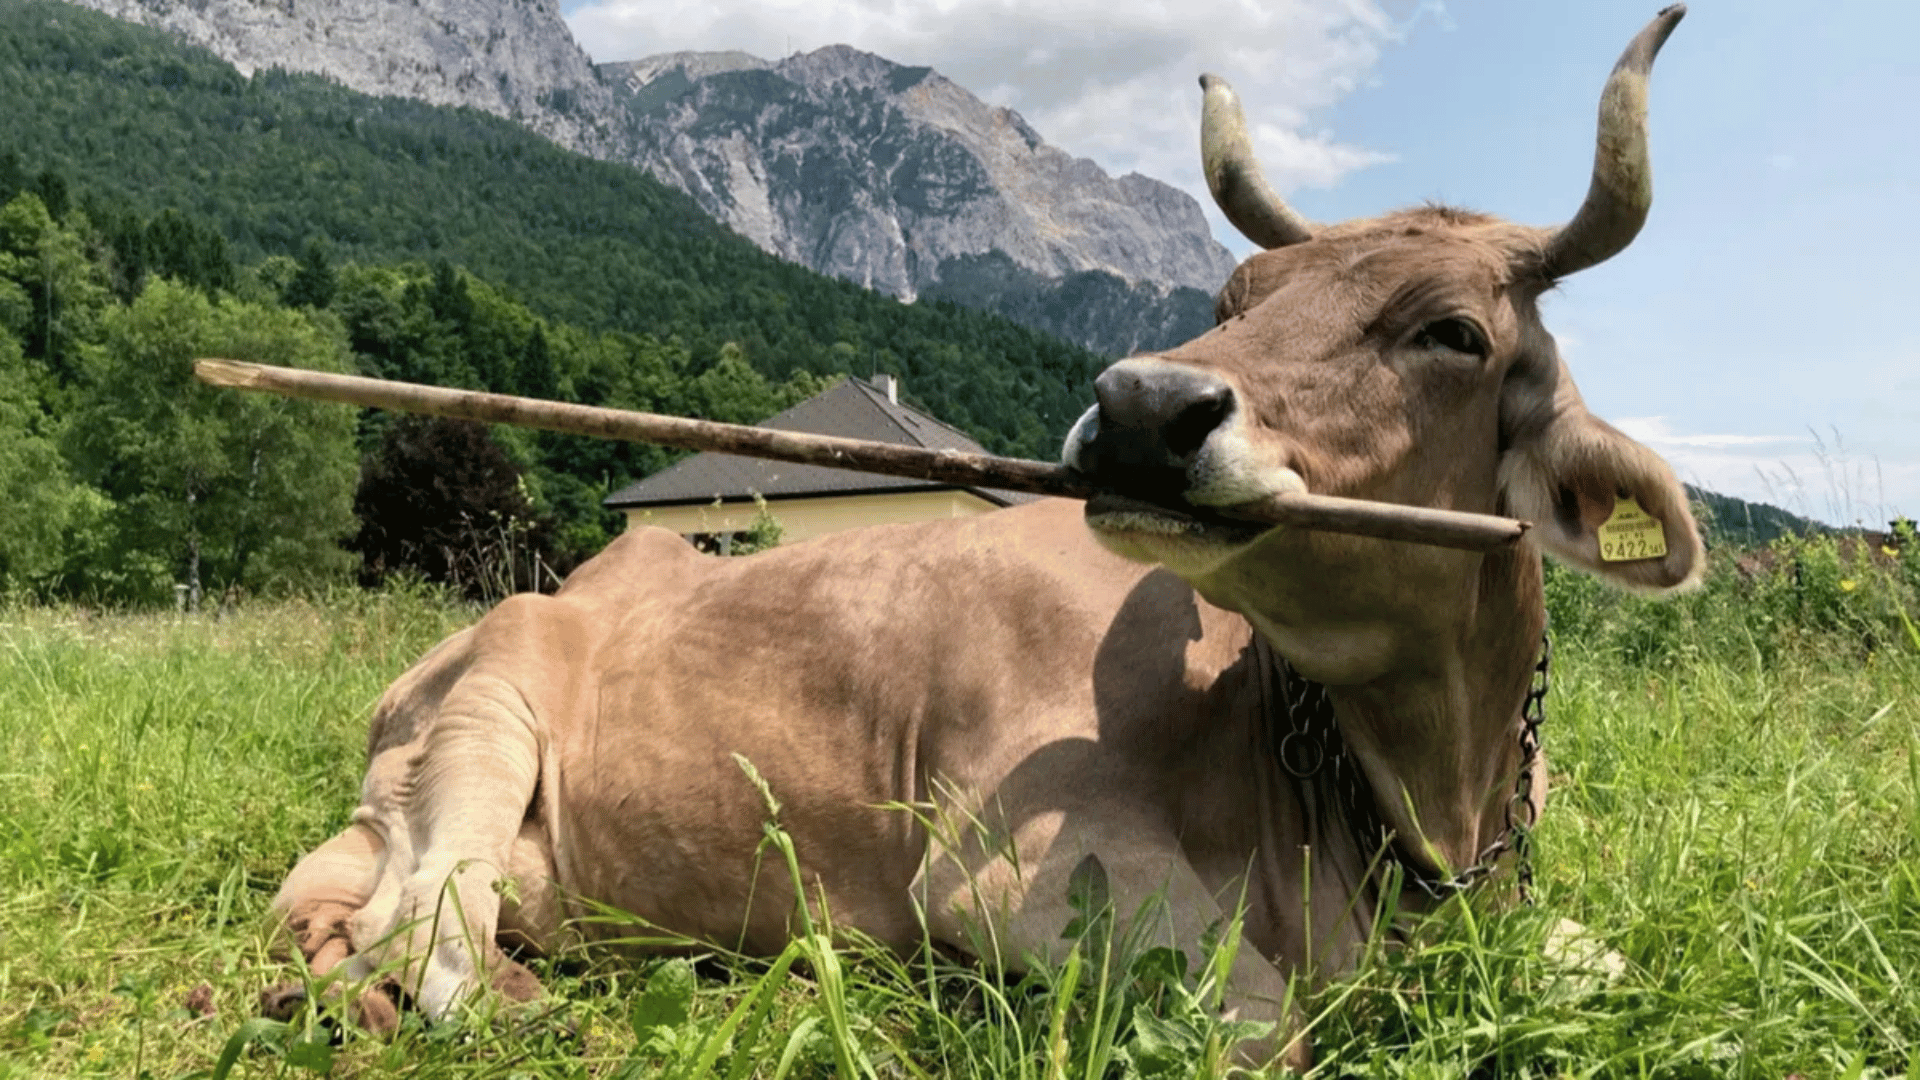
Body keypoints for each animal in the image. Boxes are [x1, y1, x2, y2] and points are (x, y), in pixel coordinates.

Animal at [267, 6, 1701, 1069]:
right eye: (1235, 294)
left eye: (1453, 332)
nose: (1143, 407)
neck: (1419, 809)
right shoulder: (1013, 872)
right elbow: (1268, 1028)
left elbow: (1620, 959)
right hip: (489, 714)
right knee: (430, 936)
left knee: (353, 917)